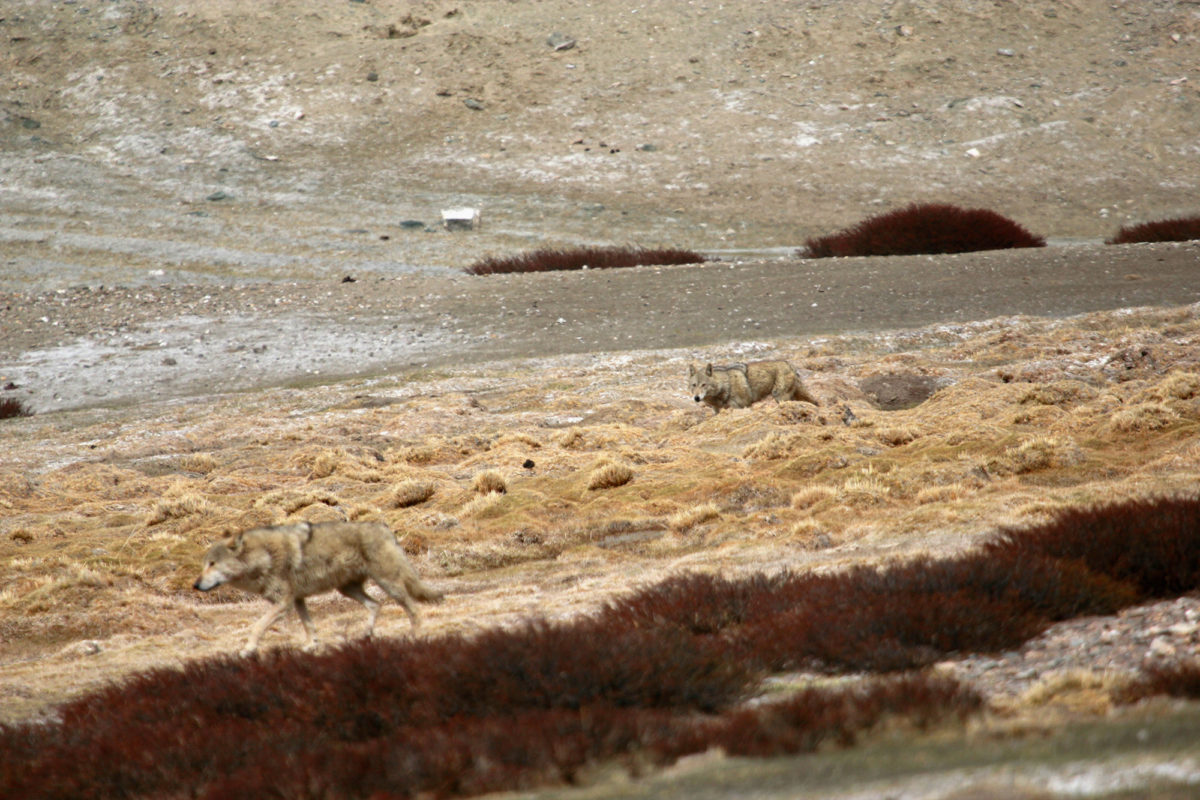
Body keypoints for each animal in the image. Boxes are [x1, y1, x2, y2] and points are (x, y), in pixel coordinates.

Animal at [194, 520, 444, 657]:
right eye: (204, 564)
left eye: (212, 564)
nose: (195, 585)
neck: (263, 556)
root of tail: (385, 529)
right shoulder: (297, 600)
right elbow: (309, 626)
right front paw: (311, 646)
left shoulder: (283, 603)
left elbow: (257, 626)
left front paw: (248, 650)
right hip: (348, 589)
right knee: (376, 604)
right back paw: (366, 635)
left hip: (388, 584)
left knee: (413, 609)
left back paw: (415, 636)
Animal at [691, 362, 820, 417]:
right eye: (694, 385)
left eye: (703, 385)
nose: (696, 398)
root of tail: (790, 365)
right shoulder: (717, 411)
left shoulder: (740, 407)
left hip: (779, 397)